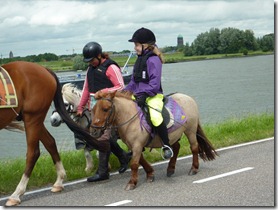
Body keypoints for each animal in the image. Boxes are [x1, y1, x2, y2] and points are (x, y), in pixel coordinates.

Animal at [0, 60, 108, 205]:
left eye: (67, 104)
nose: (53, 120)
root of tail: (44, 69)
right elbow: (87, 150)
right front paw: (89, 167)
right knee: (50, 143)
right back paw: (58, 182)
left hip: (33, 117)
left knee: (33, 152)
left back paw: (16, 194)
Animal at [90, 90, 218, 190]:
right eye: (93, 110)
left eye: (105, 109)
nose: (94, 131)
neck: (131, 117)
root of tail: (188, 97)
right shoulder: (134, 146)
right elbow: (141, 160)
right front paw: (150, 174)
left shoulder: (137, 145)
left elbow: (134, 164)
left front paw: (132, 183)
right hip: (174, 135)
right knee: (176, 148)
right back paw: (170, 168)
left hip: (190, 130)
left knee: (194, 147)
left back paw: (194, 168)